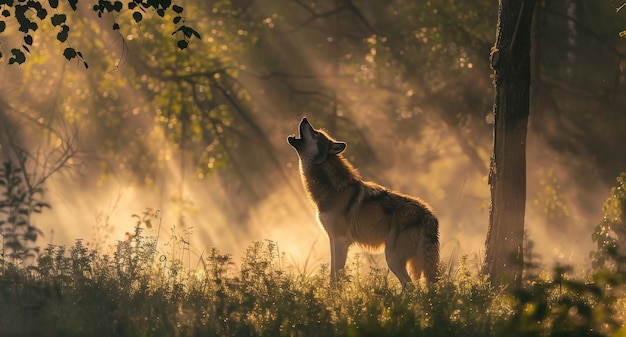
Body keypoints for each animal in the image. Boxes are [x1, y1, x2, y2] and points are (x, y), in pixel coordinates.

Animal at [288, 117, 438, 284]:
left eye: (315, 133)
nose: (304, 119)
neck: (334, 188)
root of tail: (428, 214)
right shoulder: (333, 239)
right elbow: (333, 274)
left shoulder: (340, 240)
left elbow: (336, 276)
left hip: (392, 258)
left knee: (409, 284)